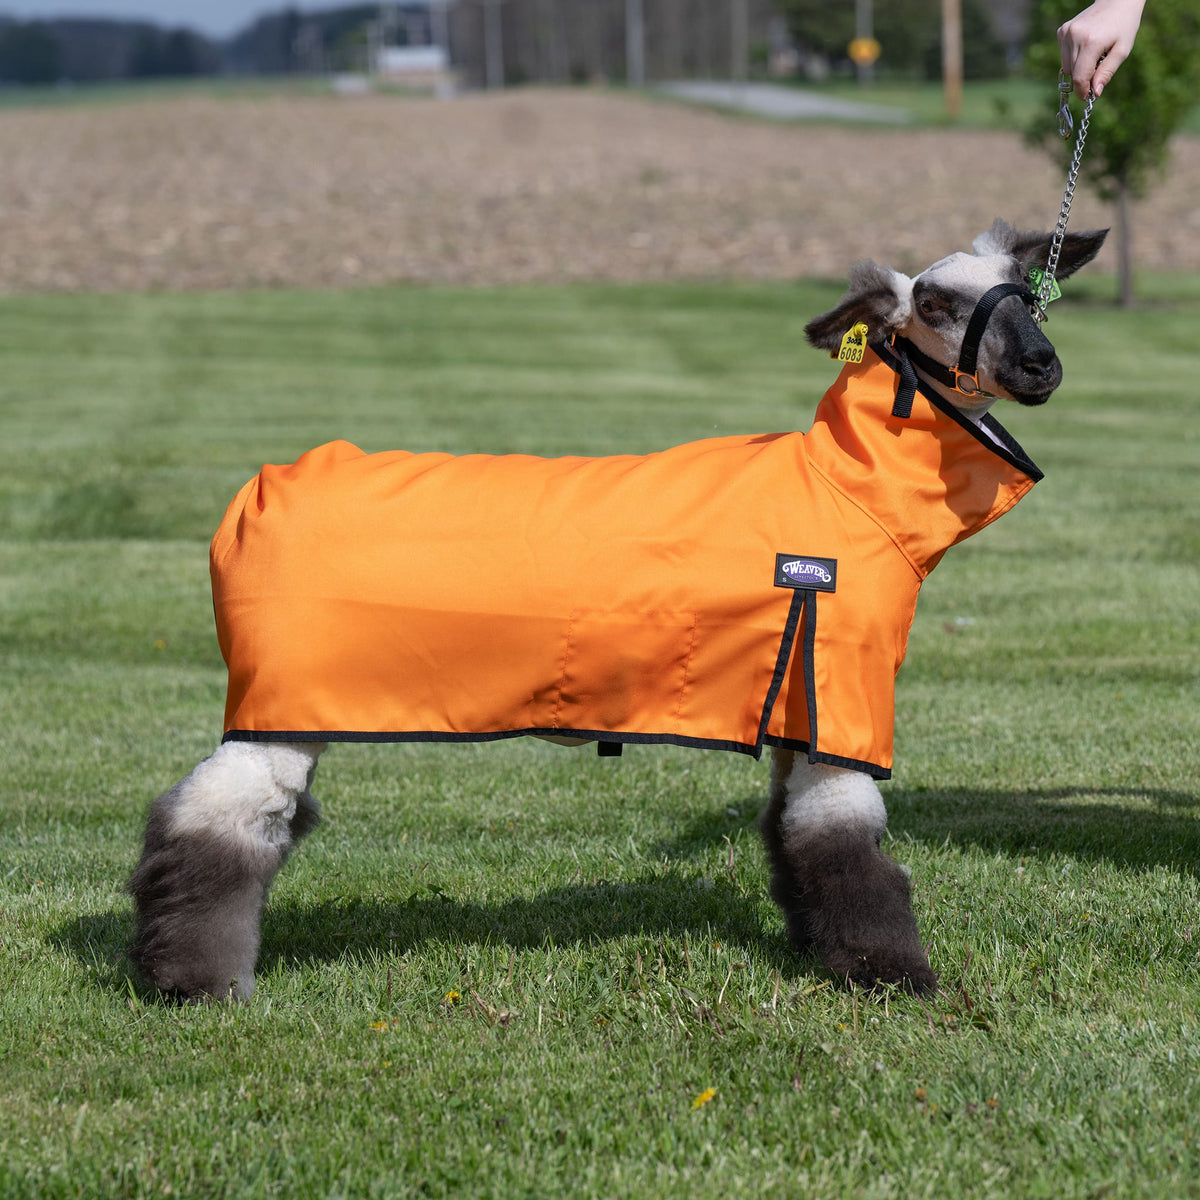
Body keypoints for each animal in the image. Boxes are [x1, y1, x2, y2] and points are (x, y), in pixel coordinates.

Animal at [128, 219, 1107, 1001]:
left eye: (1031, 295)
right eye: (936, 303)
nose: (1042, 365)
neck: (847, 493)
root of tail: (255, 495)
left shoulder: (802, 702)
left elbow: (793, 838)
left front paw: (814, 953)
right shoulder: (843, 692)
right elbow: (849, 848)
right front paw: (893, 978)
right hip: (283, 700)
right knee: (219, 823)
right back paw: (195, 983)